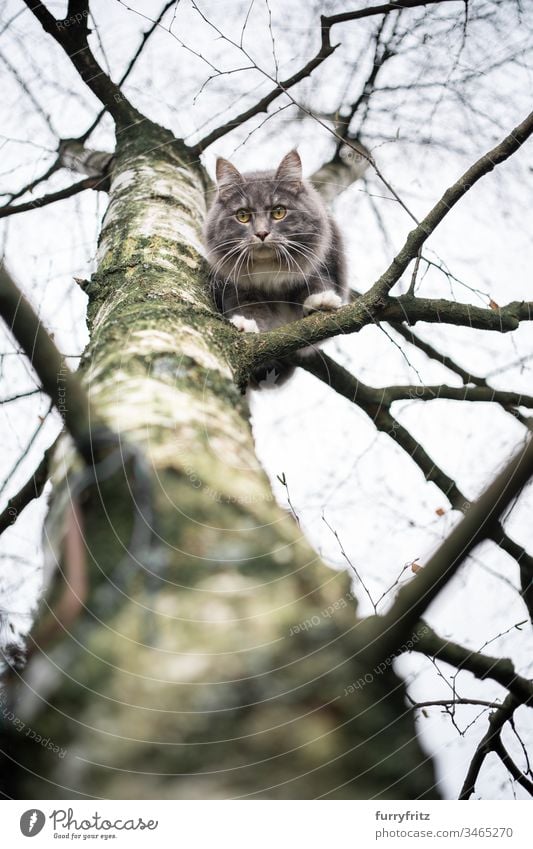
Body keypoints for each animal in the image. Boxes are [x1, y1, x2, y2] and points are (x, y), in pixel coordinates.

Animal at [203, 150, 344, 384]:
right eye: (243, 215)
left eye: (279, 212)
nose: (261, 233)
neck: (268, 268)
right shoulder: (237, 288)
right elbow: (251, 311)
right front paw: (245, 325)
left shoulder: (319, 268)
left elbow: (316, 287)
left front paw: (321, 302)